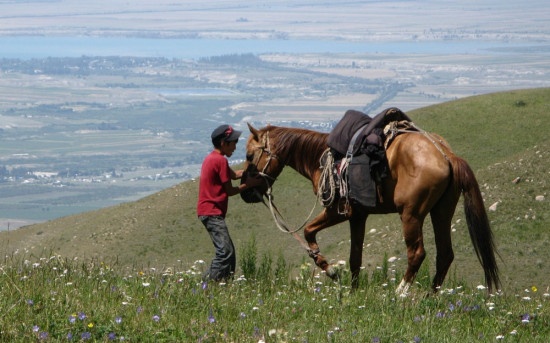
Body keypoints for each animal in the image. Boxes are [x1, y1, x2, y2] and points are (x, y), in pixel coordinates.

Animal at [244, 122, 502, 294]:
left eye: (248, 155)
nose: (246, 192)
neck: (319, 158)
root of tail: (447, 156)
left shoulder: (338, 212)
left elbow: (308, 231)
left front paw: (330, 270)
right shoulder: (358, 216)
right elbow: (354, 257)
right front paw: (353, 292)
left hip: (411, 215)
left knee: (417, 253)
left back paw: (399, 294)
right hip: (441, 212)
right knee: (445, 254)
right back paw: (430, 296)